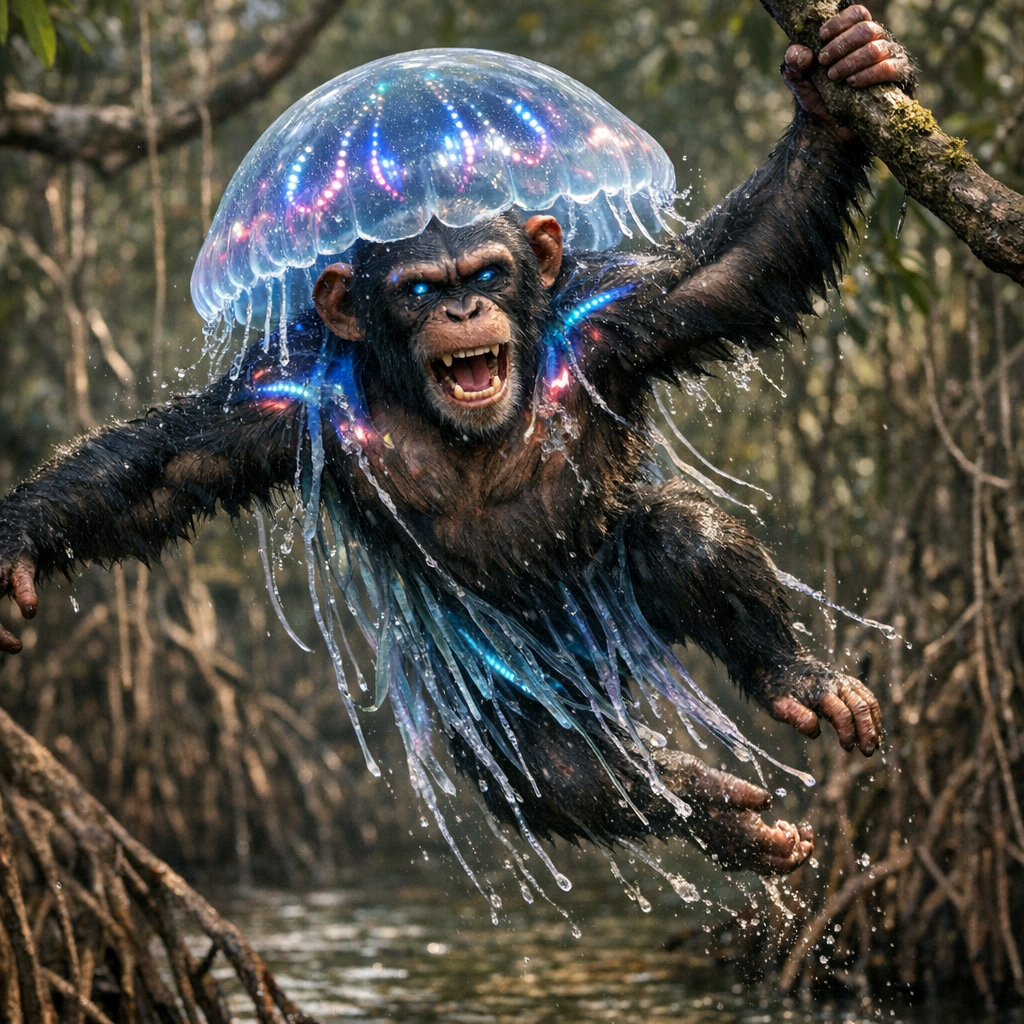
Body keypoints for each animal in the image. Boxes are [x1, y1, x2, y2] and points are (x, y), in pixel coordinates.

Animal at [0, 8, 913, 875]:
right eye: (417, 289)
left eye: (486, 273)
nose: (462, 309)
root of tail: (607, 667)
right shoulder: (282, 402)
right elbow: (161, 467)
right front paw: (17, 541)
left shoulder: (616, 317)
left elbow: (738, 268)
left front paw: (836, 80)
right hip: (512, 675)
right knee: (540, 762)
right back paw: (705, 806)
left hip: (611, 602)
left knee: (683, 535)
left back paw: (798, 681)